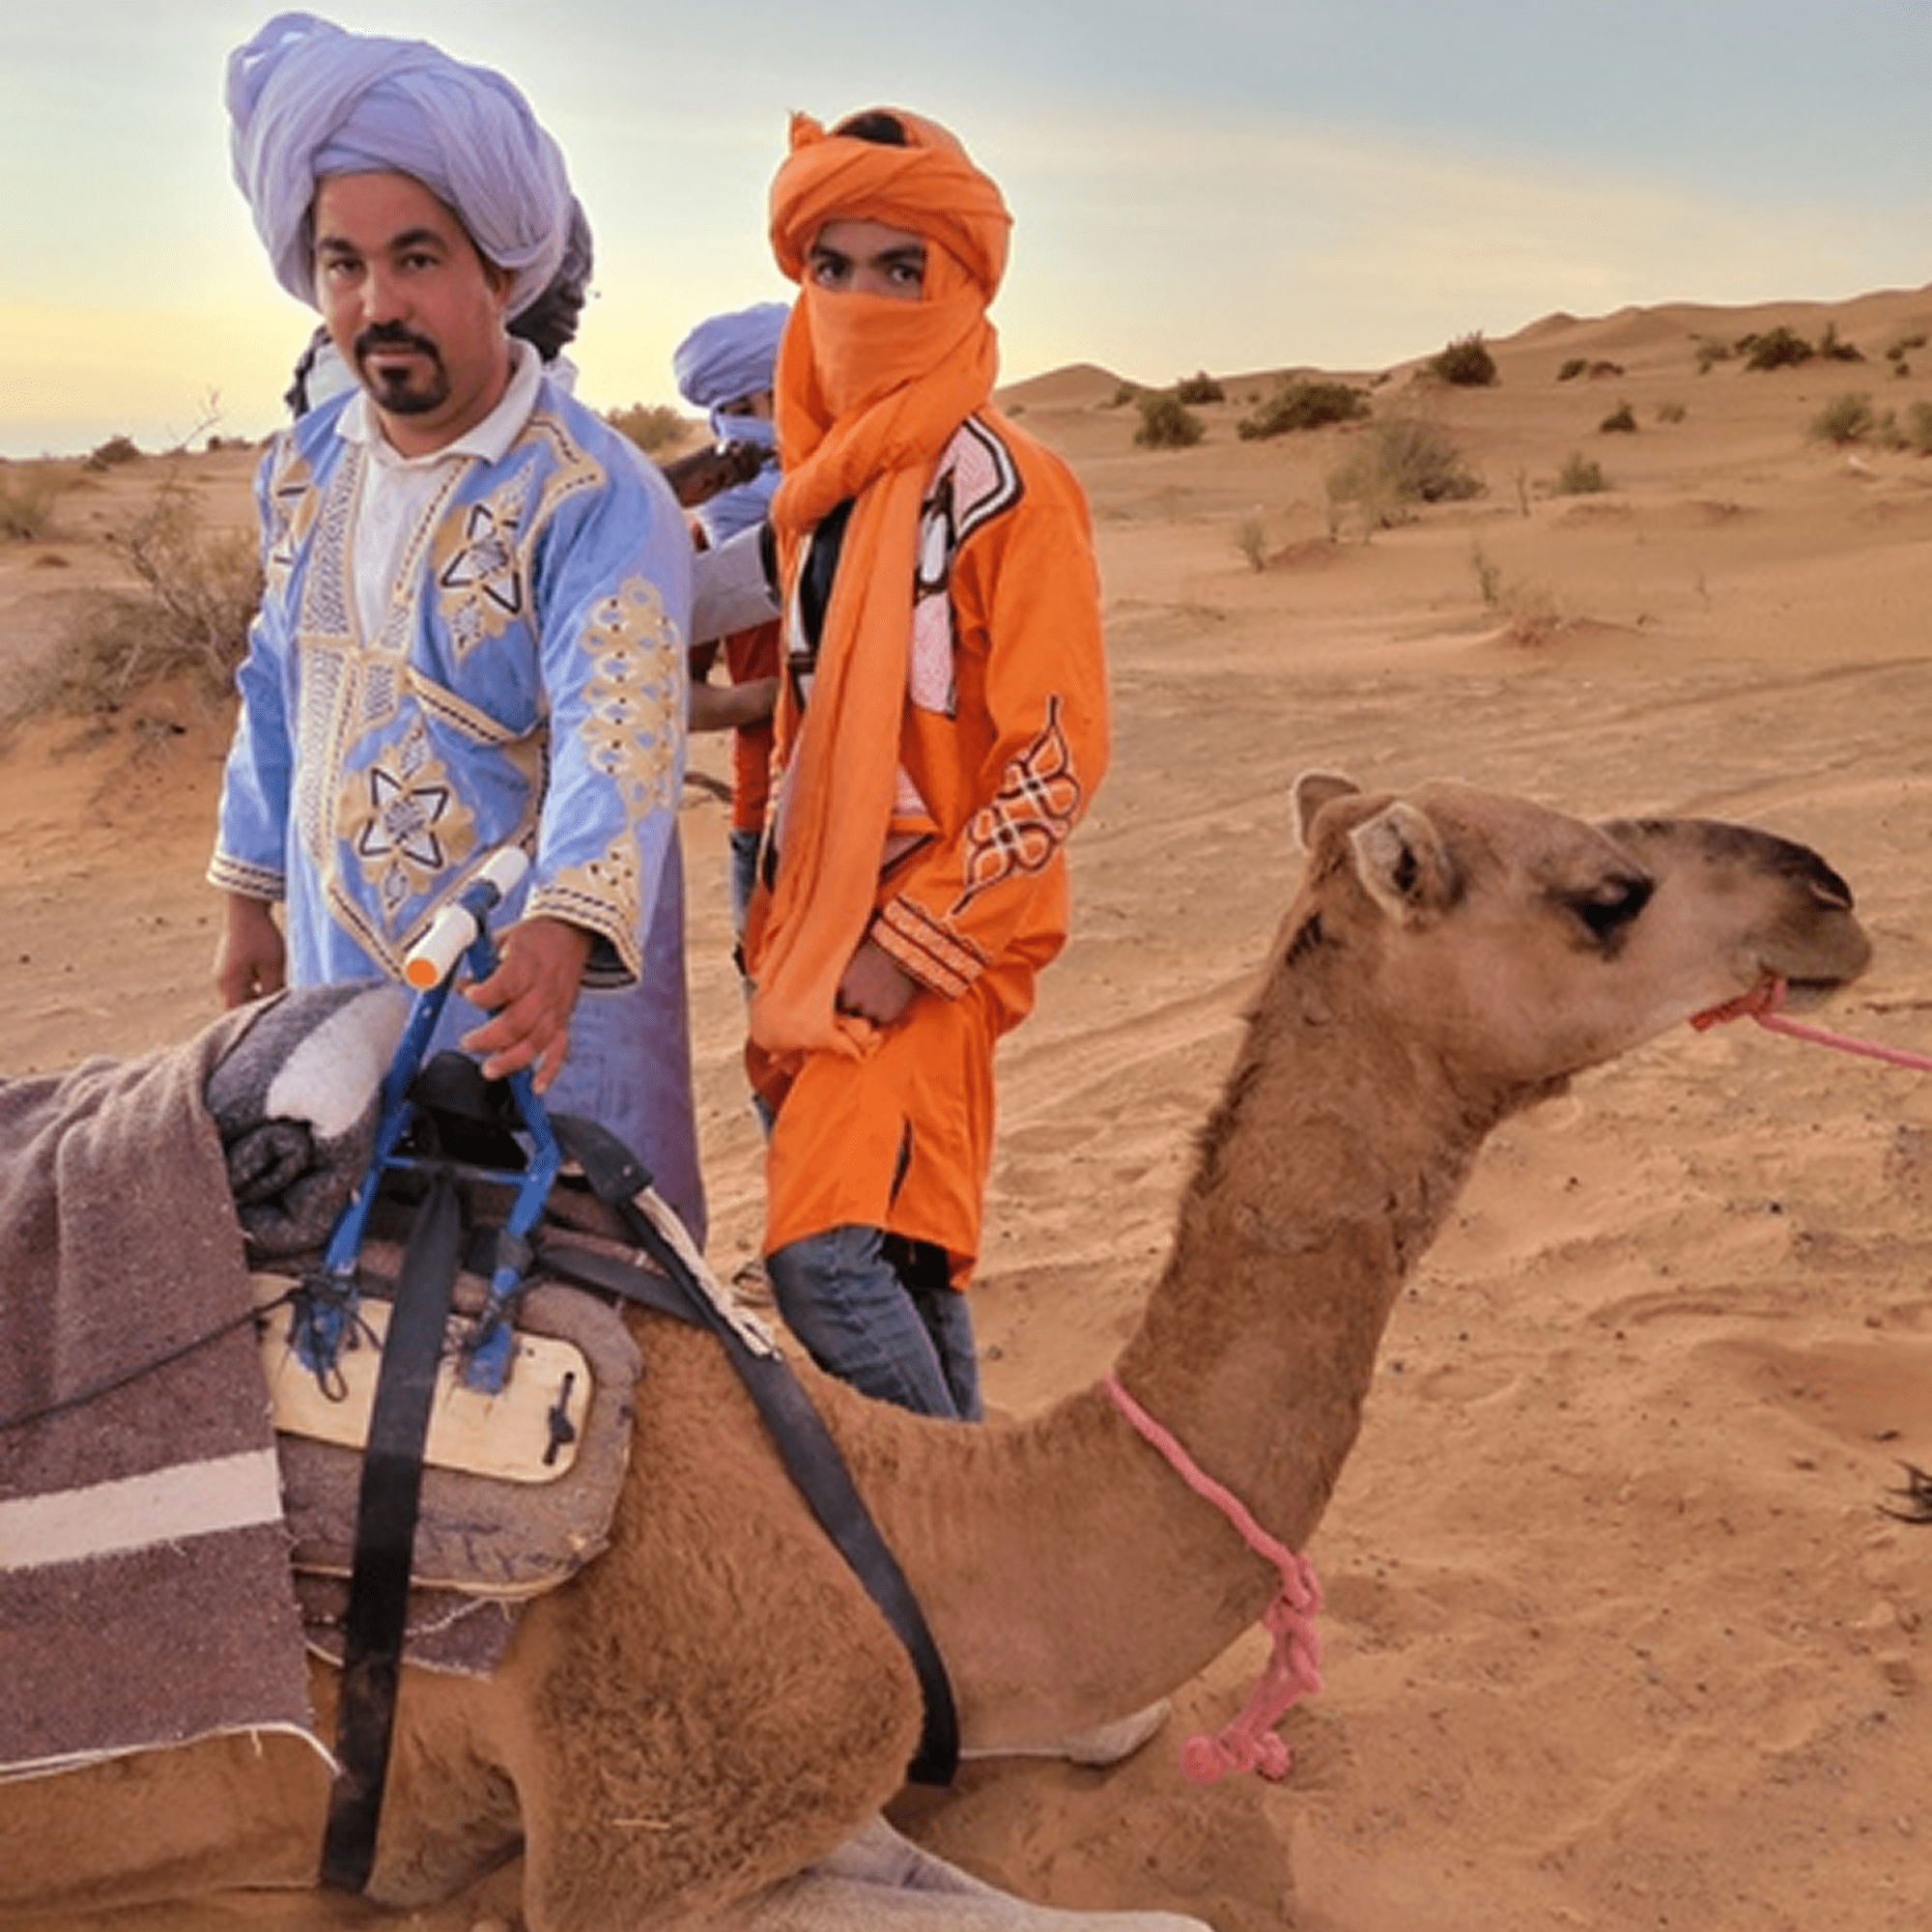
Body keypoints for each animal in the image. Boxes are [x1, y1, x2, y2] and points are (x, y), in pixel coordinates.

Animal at [0, 773, 1873, 1932]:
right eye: (1610, 895)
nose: (1834, 893)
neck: (899, 1506)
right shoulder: (645, 1827)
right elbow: (1171, 1915)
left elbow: (1107, 1761)